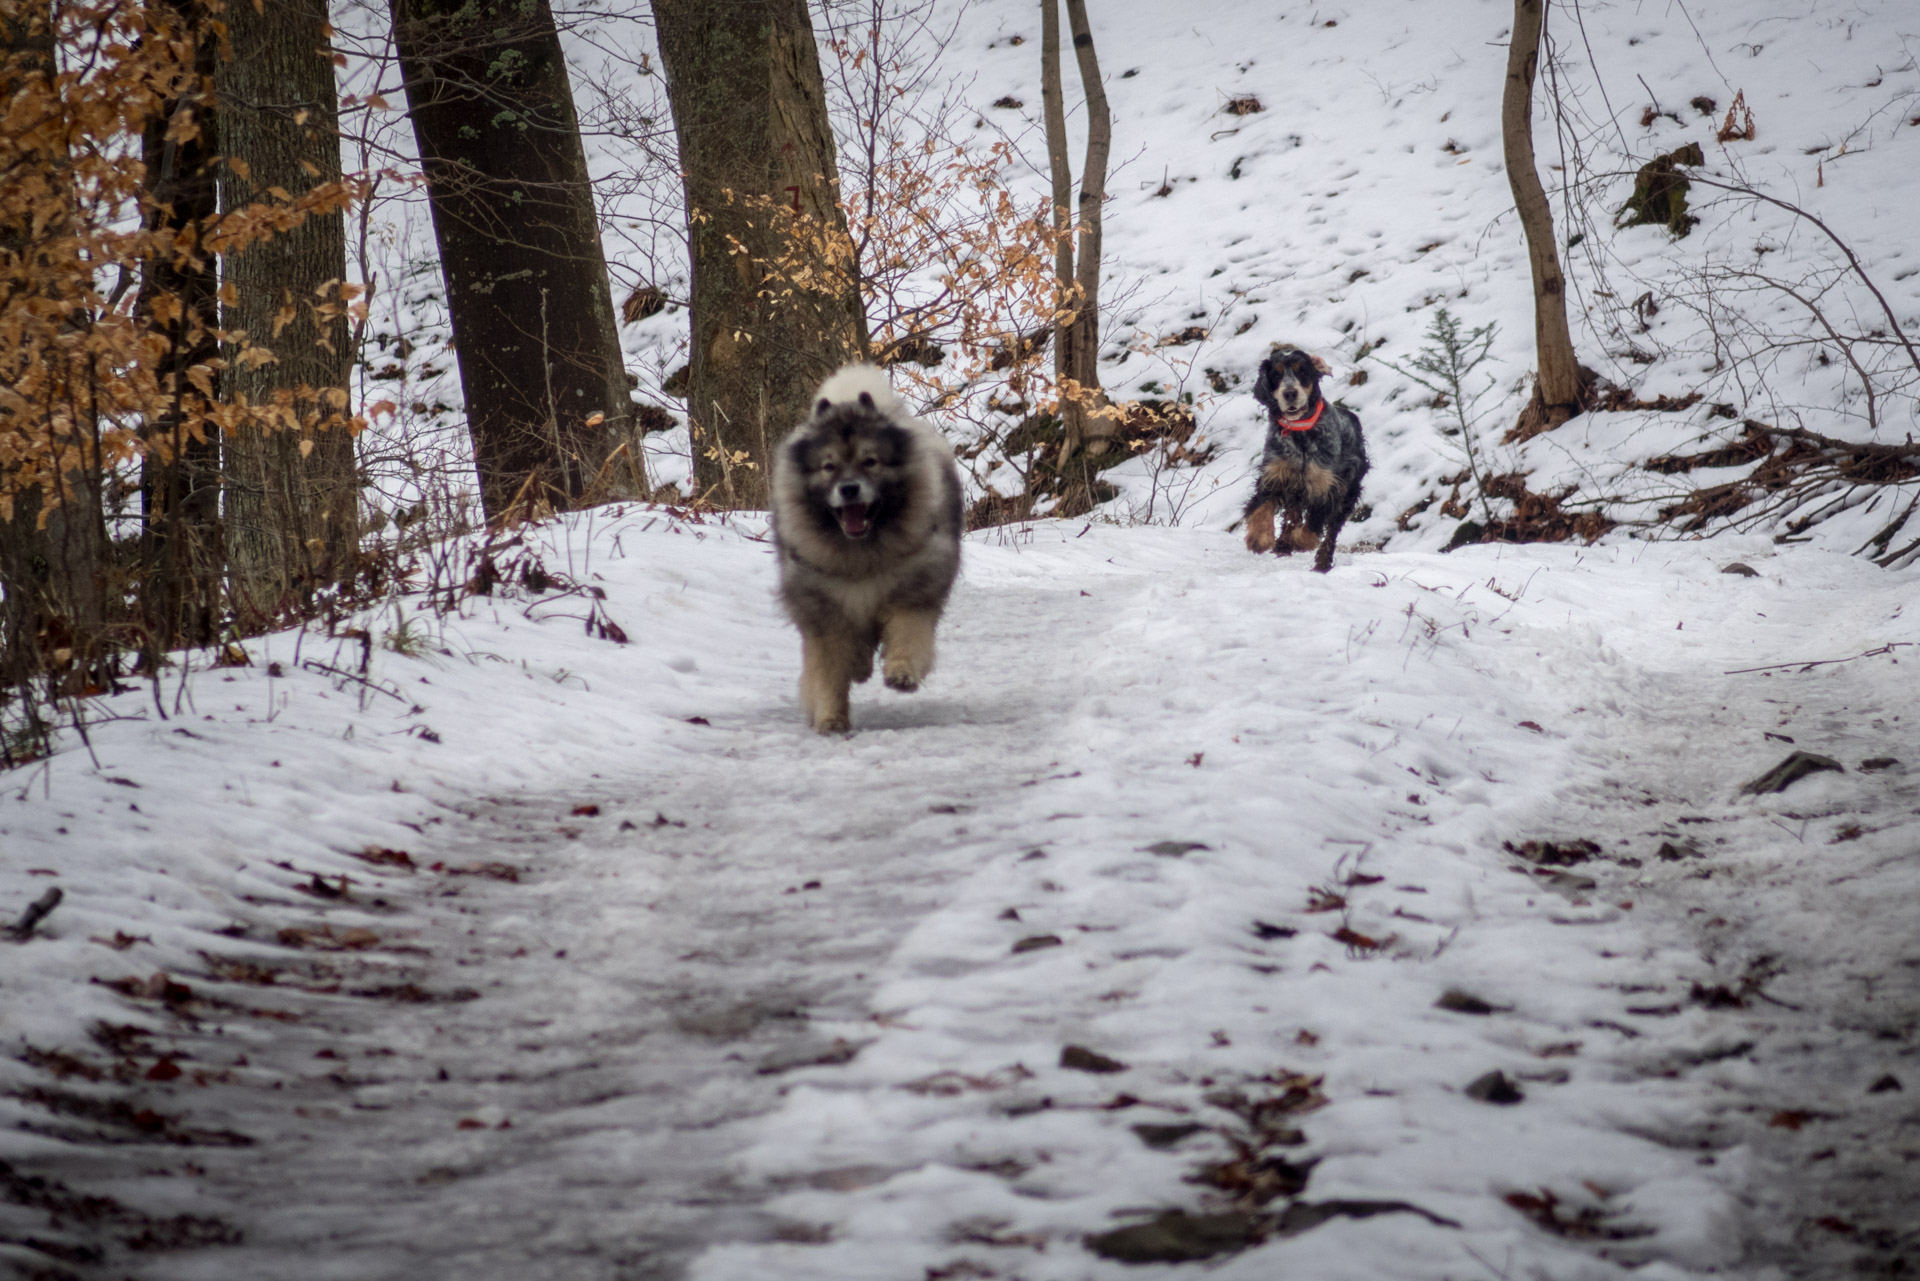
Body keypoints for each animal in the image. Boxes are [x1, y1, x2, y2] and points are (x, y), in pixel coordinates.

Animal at [771, 364, 967, 737]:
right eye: (829, 466)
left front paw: (902, 673)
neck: (861, 553)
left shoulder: (911, 594)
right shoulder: (825, 614)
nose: (849, 489)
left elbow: (907, 634)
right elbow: (828, 672)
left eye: (871, 462)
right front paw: (830, 719)